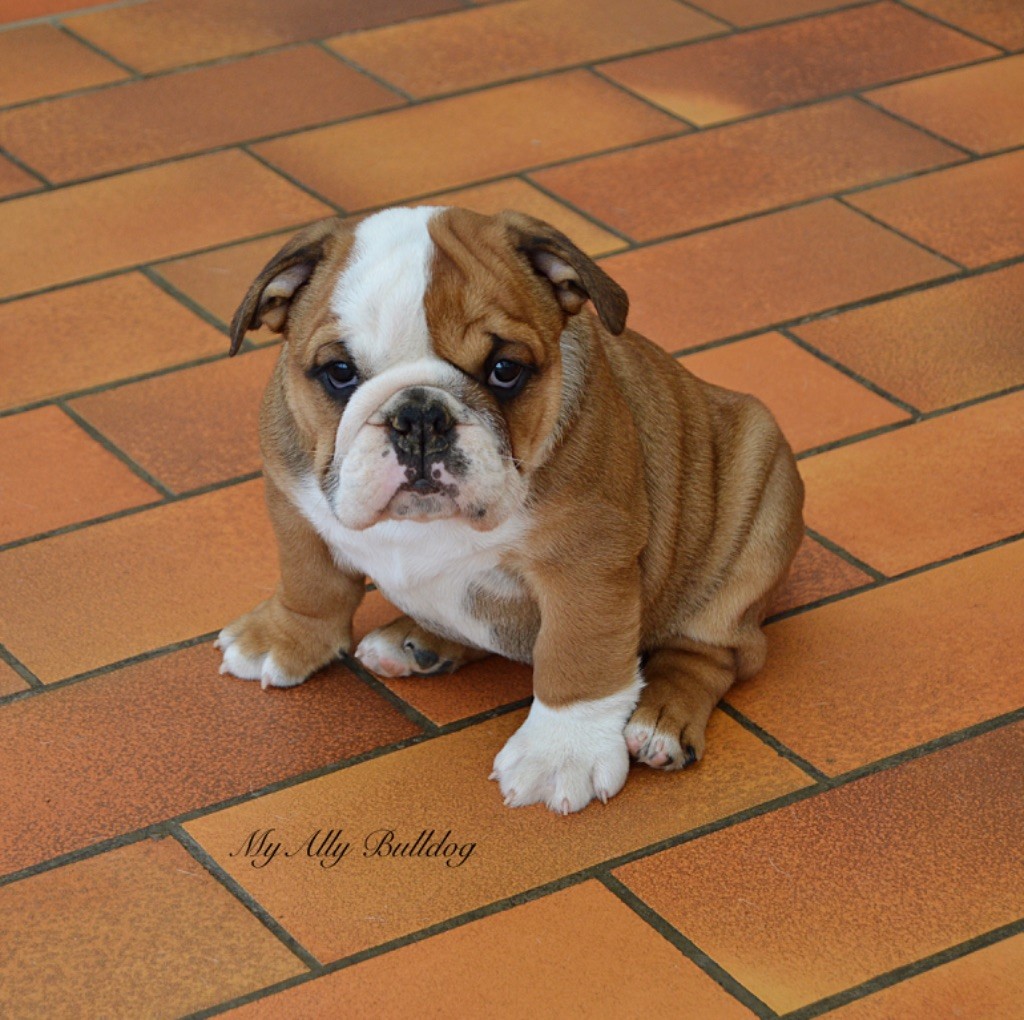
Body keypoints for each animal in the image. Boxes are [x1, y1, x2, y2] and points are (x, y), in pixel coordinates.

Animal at [216, 206, 804, 814]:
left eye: (504, 370)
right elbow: (309, 582)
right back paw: (418, 642)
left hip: (760, 501)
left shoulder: (585, 560)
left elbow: (579, 656)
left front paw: (562, 753)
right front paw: (284, 637)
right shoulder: (293, 503)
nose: (419, 416)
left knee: (714, 652)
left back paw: (661, 718)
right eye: (339, 372)